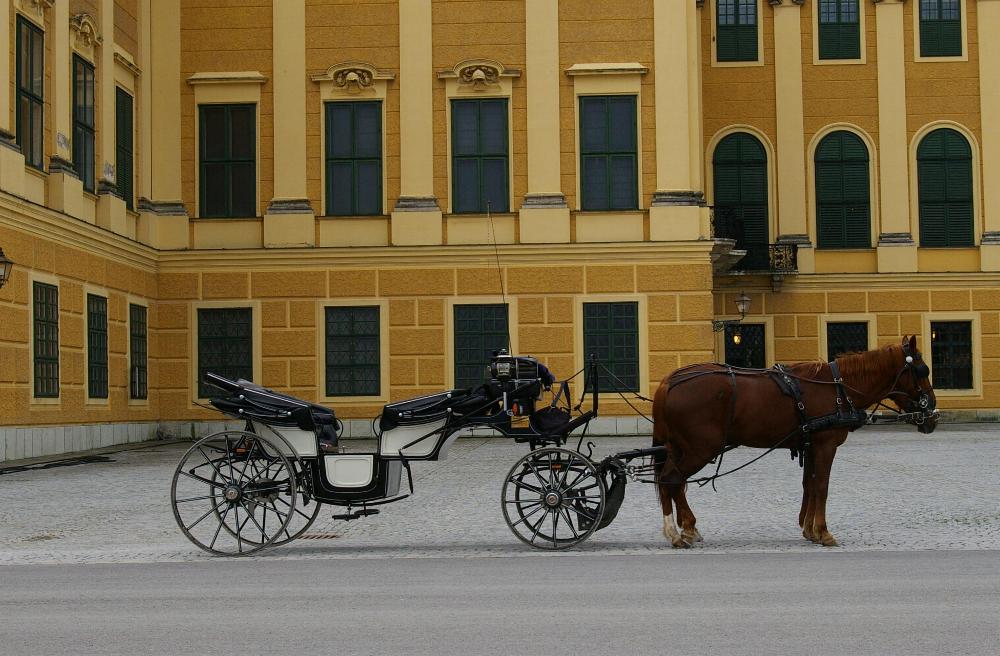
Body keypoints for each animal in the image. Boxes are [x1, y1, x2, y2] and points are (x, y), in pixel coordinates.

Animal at [652, 338, 940, 548]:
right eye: (922, 370)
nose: (933, 413)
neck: (837, 388)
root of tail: (668, 382)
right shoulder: (825, 445)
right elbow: (821, 486)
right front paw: (823, 532)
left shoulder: (810, 446)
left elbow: (809, 485)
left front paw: (810, 529)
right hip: (700, 449)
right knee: (671, 479)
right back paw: (677, 532)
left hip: (680, 449)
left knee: (672, 483)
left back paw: (684, 528)